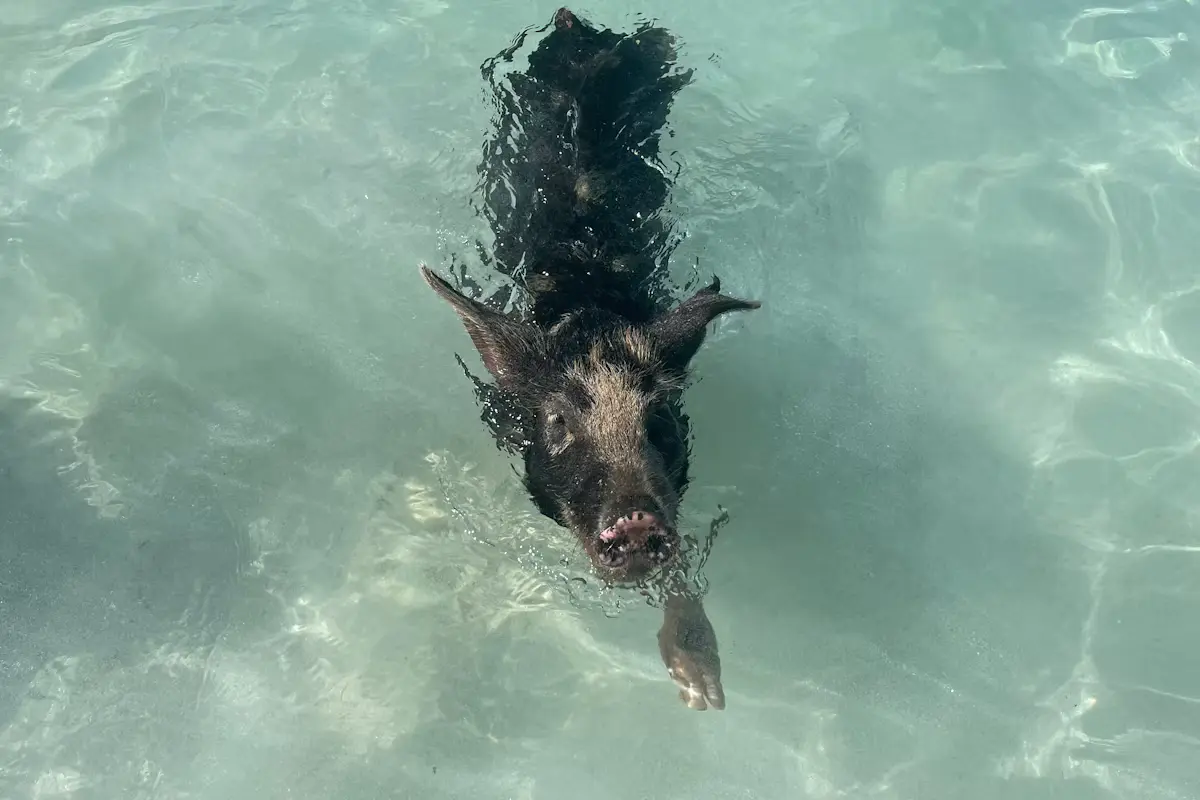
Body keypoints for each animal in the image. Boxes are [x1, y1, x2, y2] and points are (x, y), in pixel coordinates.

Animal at [420, 7, 760, 711]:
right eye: (556, 422)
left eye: (659, 418)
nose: (633, 519)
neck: (592, 319)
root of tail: (576, 23)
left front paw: (702, 693)